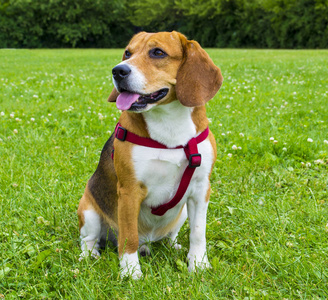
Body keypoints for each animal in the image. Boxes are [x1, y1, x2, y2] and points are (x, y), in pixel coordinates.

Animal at [77, 31, 223, 278]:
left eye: (158, 52)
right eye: (128, 53)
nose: (118, 70)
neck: (169, 125)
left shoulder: (201, 188)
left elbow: (198, 232)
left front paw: (198, 264)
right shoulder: (129, 191)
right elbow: (128, 236)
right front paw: (130, 272)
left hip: (182, 212)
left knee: (169, 235)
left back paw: (172, 246)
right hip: (89, 211)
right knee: (90, 239)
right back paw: (90, 255)